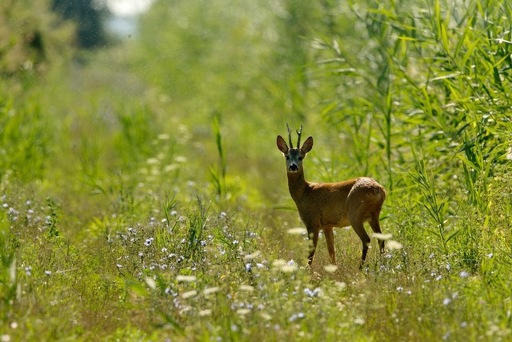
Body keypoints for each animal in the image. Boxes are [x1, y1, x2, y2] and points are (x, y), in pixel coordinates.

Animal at [278, 124, 386, 268]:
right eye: (287, 156)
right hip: (374, 215)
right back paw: (383, 265)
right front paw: (333, 268)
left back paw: (361, 268)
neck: (304, 193)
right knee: (381, 239)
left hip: (355, 213)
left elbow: (311, 254)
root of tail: (378, 189)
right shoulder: (327, 225)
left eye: (301, 157)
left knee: (367, 239)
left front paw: (307, 271)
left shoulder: (312, 222)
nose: (293, 166)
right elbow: (331, 252)